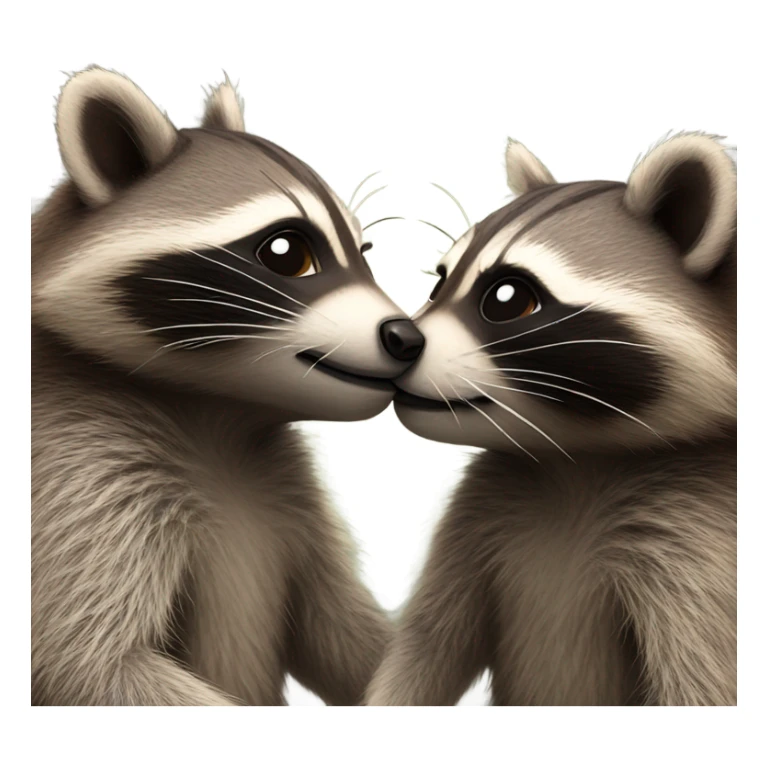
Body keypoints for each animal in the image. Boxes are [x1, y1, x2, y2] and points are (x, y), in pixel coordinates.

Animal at [31, 67, 426, 705]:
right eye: (287, 252)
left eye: (364, 251)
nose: (407, 337)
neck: (221, 415)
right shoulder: (80, 472)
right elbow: (87, 666)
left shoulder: (289, 486)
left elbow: (344, 634)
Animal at [366, 133, 736, 706]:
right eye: (439, 283)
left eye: (508, 297)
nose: (400, 338)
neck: (575, 457)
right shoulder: (480, 508)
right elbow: (427, 644)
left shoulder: (694, 536)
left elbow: (708, 680)